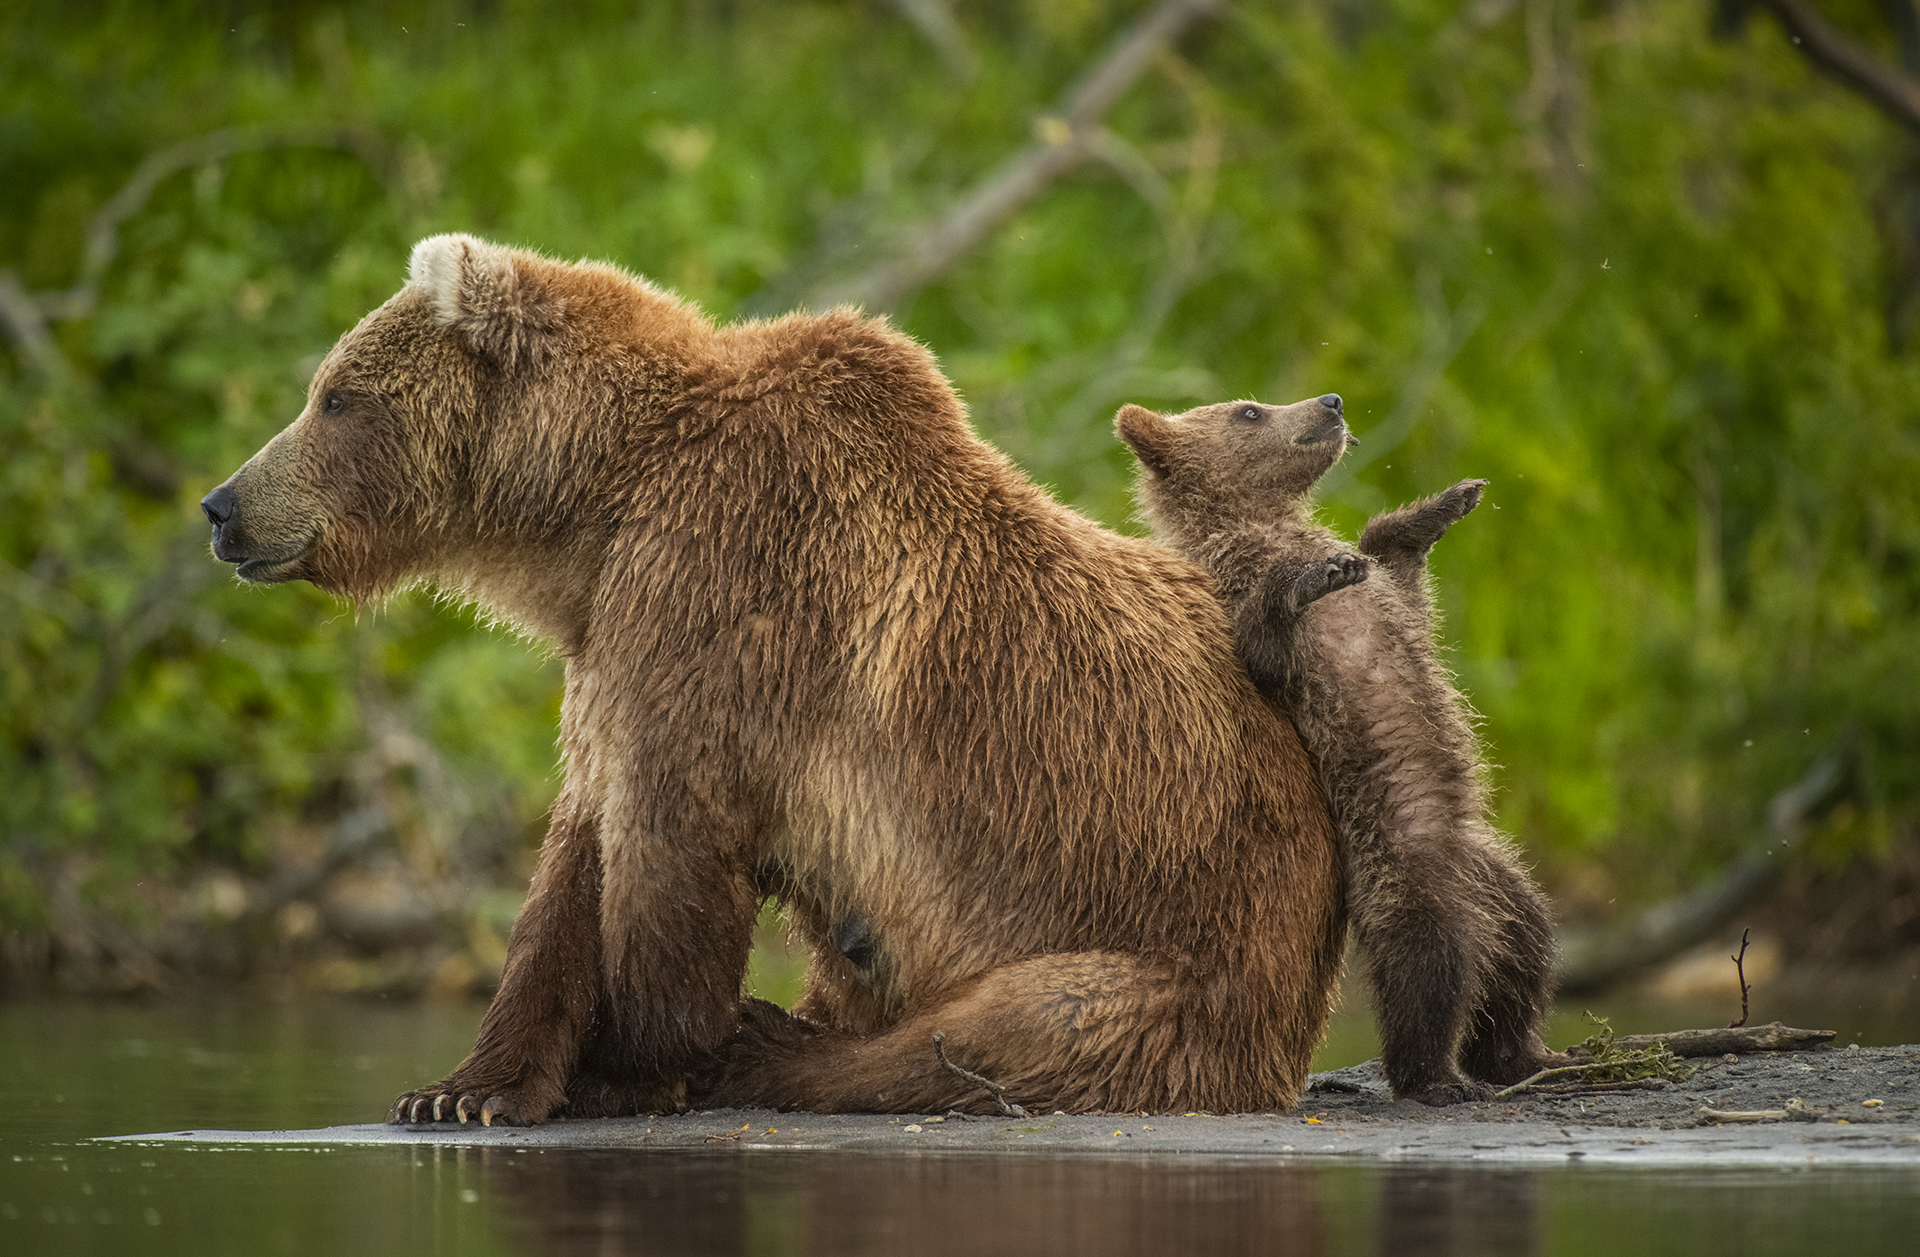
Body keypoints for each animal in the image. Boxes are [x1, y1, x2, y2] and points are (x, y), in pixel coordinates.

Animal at [200, 235, 1348, 1124]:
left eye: (334, 396)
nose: (222, 506)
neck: (594, 508)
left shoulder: (723, 598)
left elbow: (667, 841)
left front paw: (630, 1065)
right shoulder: (616, 638)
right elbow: (573, 856)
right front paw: (461, 1088)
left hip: (1180, 938)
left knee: (1009, 1028)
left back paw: (770, 1041)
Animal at [1114, 395, 1562, 1103]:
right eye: (1249, 409)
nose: (1332, 402)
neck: (1264, 524)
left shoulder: (1391, 598)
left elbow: (1397, 573)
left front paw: (1447, 503)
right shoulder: (1238, 605)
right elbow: (1264, 643)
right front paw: (1316, 575)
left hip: (1500, 877)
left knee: (1527, 948)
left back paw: (1524, 1054)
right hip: (1403, 866)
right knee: (1430, 965)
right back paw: (1436, 1076)